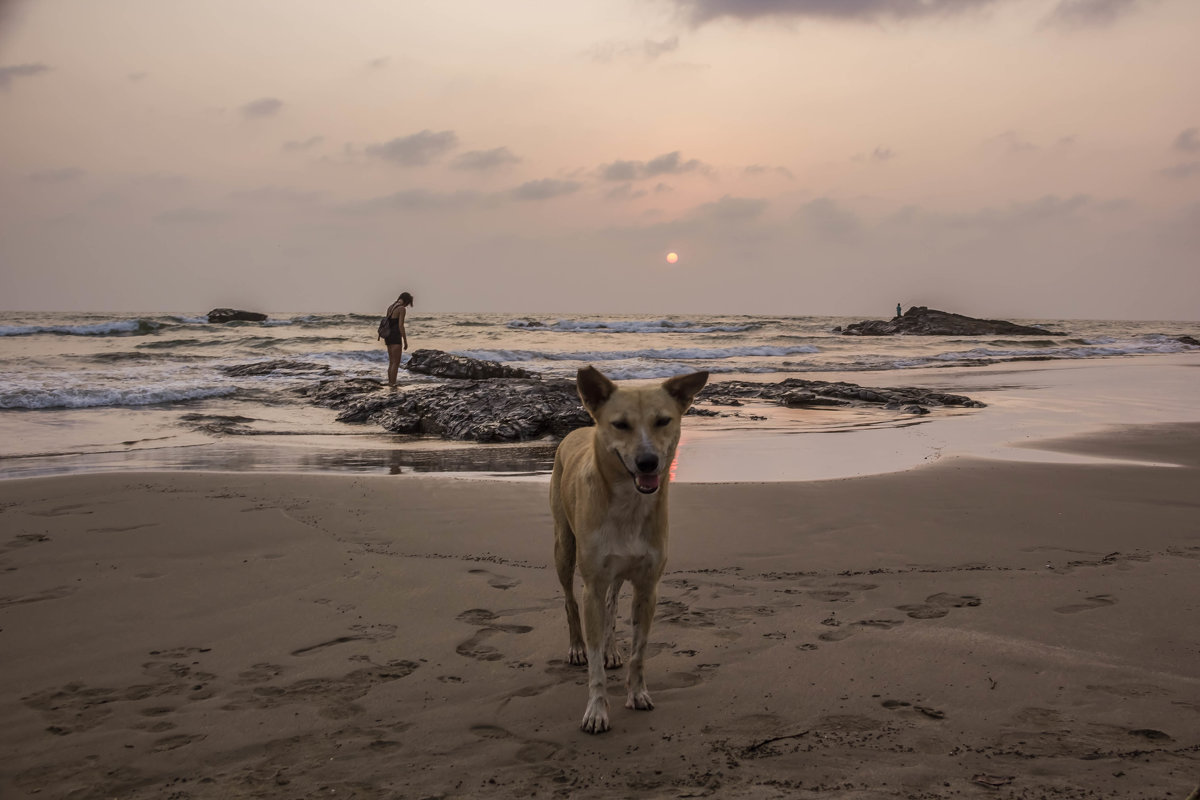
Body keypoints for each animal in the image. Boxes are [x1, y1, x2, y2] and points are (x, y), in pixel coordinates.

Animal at [549, 367, 705, 734]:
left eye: (663, 420)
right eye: (620, 424)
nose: (648, 462)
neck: (629, 505)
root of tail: (578, 429)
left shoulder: (648, 586)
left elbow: (640, 649)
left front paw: (637, 693)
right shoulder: (592, 583)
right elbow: (594, 663)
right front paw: (596, 710)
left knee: (610, 604)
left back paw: (612, 650)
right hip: (564, 544)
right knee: (570, 600)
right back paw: (576, 647)